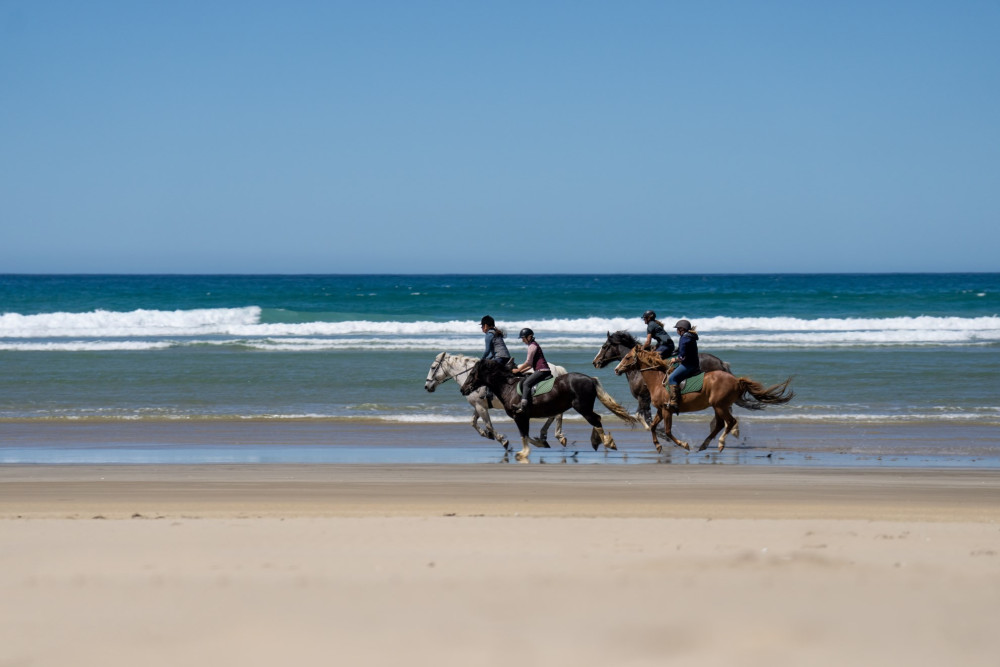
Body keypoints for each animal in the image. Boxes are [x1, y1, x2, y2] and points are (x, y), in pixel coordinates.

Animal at [422, 352, 568, 452]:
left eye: (433, 367)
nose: (427, 386)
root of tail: (556, 369)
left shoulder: (481, 407)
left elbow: (489, 425)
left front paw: (503, 441)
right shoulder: (478, 406)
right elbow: (473, 422)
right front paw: (487, 435)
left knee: (557, 415)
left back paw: (557, 436)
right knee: (554, 415)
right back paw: (545, 436)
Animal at [458, 358, 636, 462]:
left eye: (472, 373)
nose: (463, 389)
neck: (508, 387)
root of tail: (590, 379)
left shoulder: (520, 417)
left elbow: (524, 435)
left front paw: (524, 453)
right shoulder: (523, 417)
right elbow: (527, 435)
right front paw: (541, 443)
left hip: (582, 407)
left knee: (595, 419)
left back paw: (607, 442)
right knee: (594, 418)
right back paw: (597, 441)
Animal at [588, 330, 740, 428]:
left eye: (604, 346)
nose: (595, 362)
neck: (638, 369)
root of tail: (721, 363)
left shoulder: (643, 397)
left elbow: (643, 417)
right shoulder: (645, 399)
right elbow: (644, 416)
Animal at [612, 348, 792, 456]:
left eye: (627, 357)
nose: (616, 369)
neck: (657, 380)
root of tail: (736, 379)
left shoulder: (667, 410)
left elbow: (668, 431)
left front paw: (684, 444)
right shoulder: (660, 410)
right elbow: (654, 427)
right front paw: (658, 446)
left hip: (720, 406)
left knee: (729, 422)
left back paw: (720, 443)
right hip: (718, 406)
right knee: (720, 424)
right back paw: (705, 445)